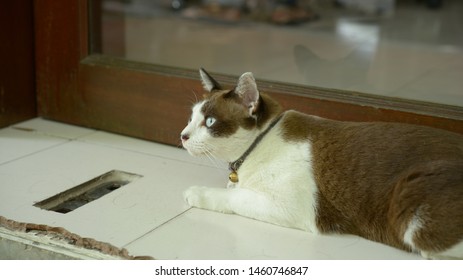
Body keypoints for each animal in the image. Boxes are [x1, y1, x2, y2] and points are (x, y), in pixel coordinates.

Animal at [180, 68, 463, 260]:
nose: (182, 135)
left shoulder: (293, 208)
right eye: (191, 117)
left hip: (409, 209)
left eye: (210, 122)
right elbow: (234, 191)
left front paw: (196, 193)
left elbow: (235, 198)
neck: (257, 146)